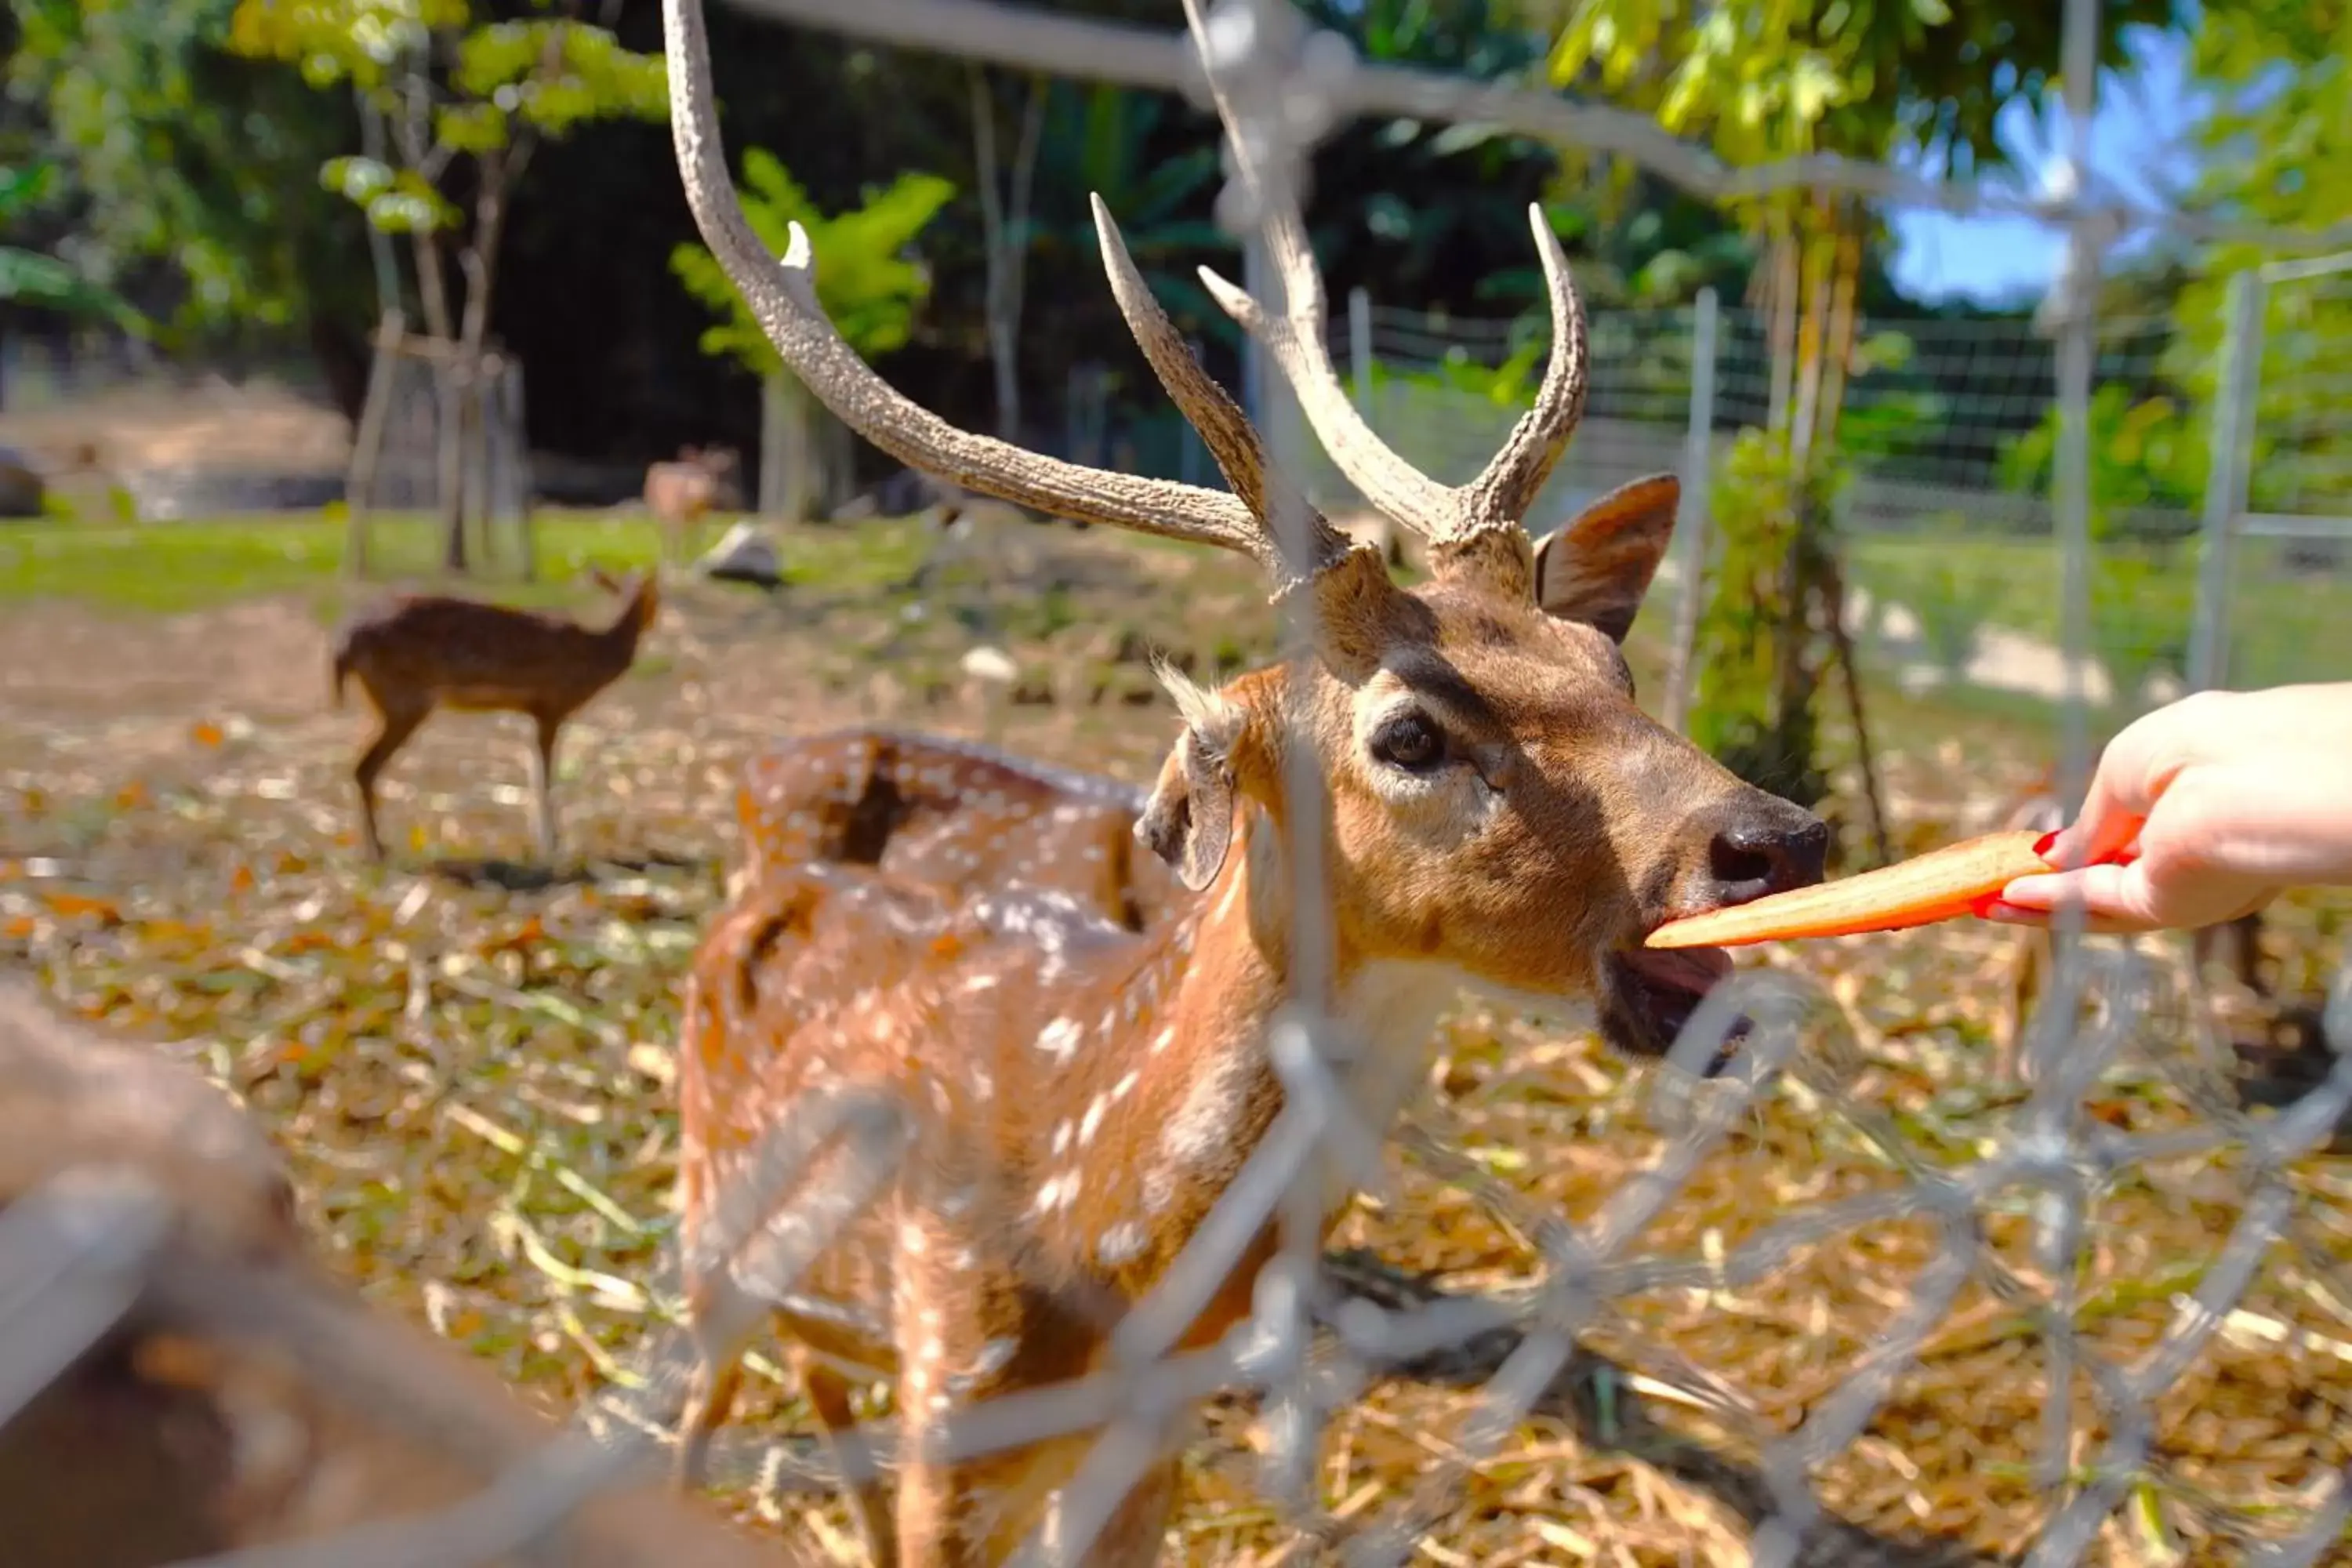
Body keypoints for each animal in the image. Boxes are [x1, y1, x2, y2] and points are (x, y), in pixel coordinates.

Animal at [327, 566, 659, 865]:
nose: (654, 620)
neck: (597, 656)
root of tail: (342, 645)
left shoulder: (534, 711)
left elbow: (532, 766)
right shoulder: (552, 704)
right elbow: (543, 774)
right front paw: (552, 847)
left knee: (362, 766)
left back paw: (373, 851)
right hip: (403, 699)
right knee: (364, 767)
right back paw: (379, 853)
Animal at [644, 441, 743, 564]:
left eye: (716, 473)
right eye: (701, 470)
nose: (706, 490)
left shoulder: (703, 517)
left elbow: (698, 541)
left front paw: (695, 560)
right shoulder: (677, 513)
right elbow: (678, 540)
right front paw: (678, 562)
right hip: (656, 510)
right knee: (666, 537)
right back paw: (667, 559)